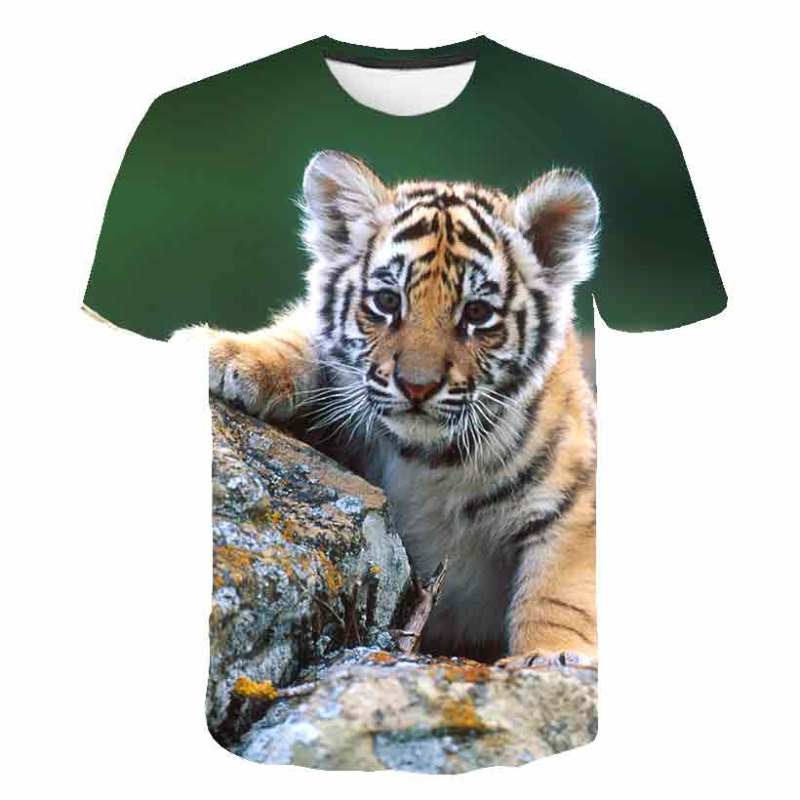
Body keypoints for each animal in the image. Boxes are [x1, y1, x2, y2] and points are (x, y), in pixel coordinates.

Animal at [174, 150, 599, 667]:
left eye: (477, 314)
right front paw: (225, 353)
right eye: (386, 301)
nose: (417, 387)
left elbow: (560, 594)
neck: (431, 461)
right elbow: (304, 341)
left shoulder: (575, 505)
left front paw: (550, 657)